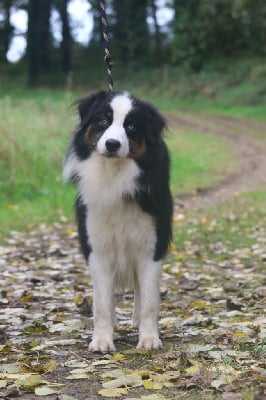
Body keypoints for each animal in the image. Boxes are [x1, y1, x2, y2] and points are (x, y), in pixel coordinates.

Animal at [63, 90, 174, 350]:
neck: (114, 175)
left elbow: (150, 300)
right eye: (103, 121)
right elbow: (102, 302)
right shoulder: (98, 247)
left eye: (131, 126)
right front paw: (102, 340)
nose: (112, 144)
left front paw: (149, 338)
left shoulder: (151, 246)